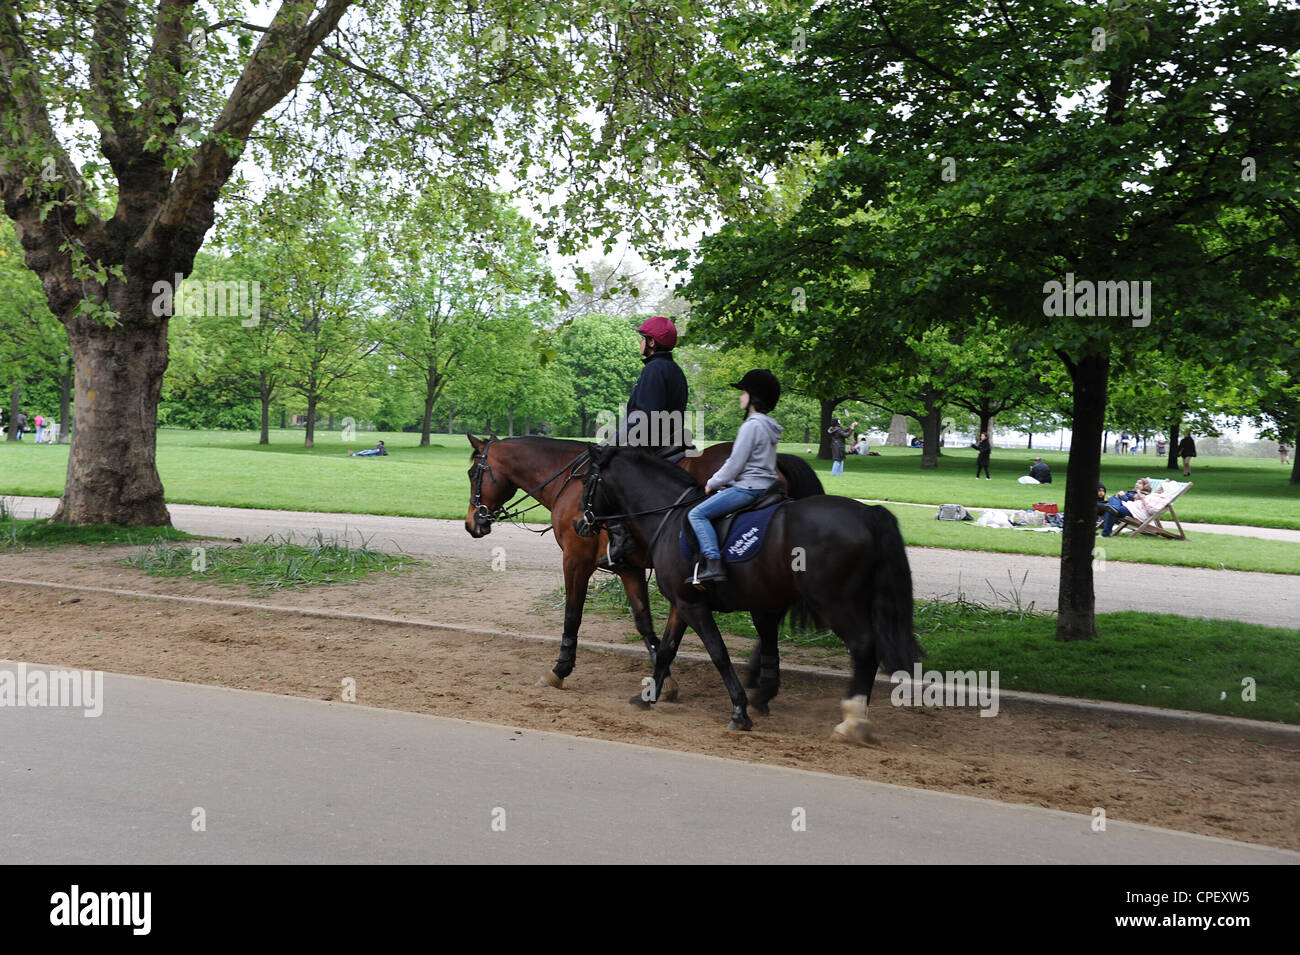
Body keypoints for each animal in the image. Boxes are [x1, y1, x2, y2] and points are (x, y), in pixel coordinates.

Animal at [464, 434, 823, 693]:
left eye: (471, 473)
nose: (471, 523)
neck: (572, 480)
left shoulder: (576, 561)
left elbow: (572, 616)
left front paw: (560, 669)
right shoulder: (629, 569)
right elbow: (644, 623)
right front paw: (664, 677)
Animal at [575, 443, 921, 743]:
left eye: (587, 481)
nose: (580, 522)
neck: (671, 517)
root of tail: (869, 513)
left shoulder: (693, 605)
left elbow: (718, 652)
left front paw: (739, 710)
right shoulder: (682, 603)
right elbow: (666, 649)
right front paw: (647, 696)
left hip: (836, 603)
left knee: (864, 647)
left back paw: (852, 719)